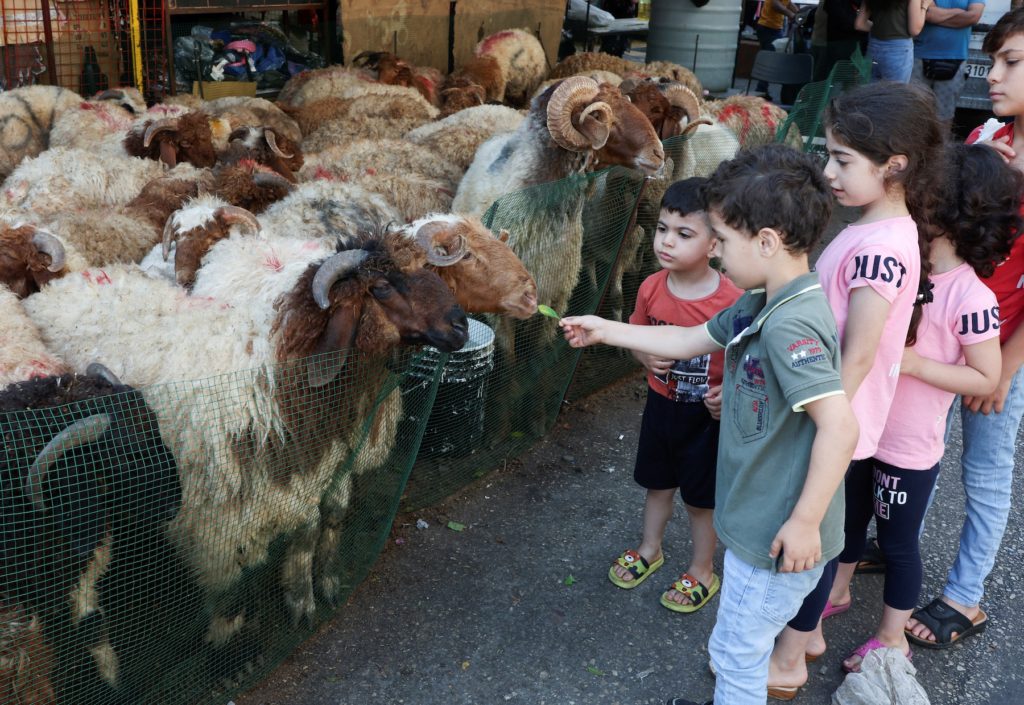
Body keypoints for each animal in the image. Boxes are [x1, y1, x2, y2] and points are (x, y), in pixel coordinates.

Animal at [24, 235, 468, 639]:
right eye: (381, 287)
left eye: (426, 271)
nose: (461, 325)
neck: (276, 380)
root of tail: (68, 281)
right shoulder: (212, 517)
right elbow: (230, 586)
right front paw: (233, 636)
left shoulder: (317, 470)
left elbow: (317, 527)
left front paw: (313, 592)